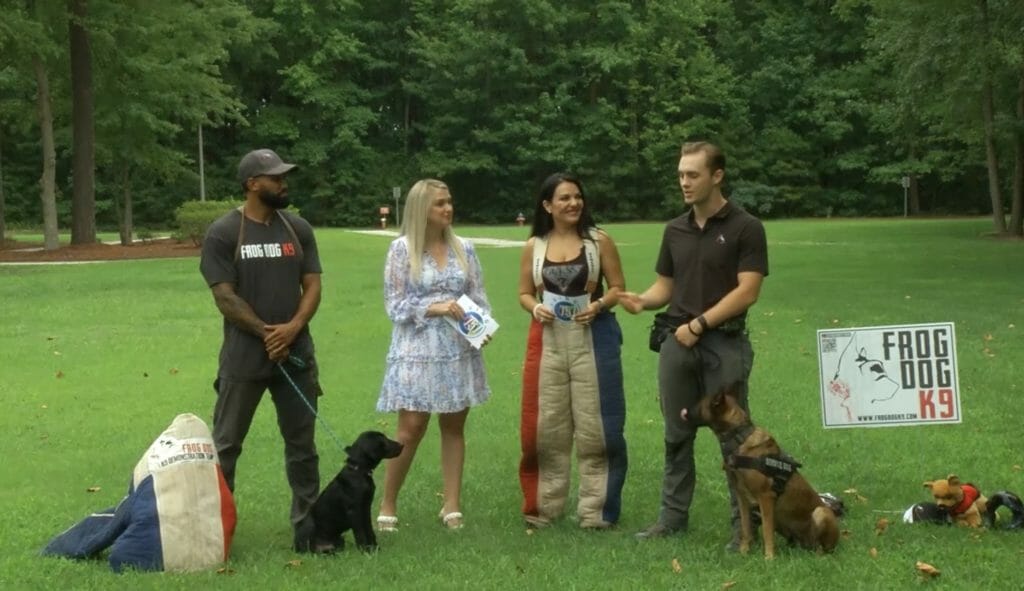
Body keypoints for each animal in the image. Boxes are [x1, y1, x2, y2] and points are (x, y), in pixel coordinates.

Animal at [684, 389, 839, 559]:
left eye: (698, 404)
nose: (683, 411)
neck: (739, 438)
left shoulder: (766, 497)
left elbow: (766, 531)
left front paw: (769, 557)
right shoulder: (743, 499)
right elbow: (745, 528)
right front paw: (744, 552)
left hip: (821, 512)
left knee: (823, 547)